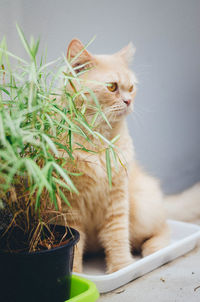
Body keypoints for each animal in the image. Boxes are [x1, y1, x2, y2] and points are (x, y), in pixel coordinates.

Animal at [59, 38, 200, 274]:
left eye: (131, 88)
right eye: (112, 87)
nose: (128, 101)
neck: (98, 141)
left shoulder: (117, 198)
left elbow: (117, 237)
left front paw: (121, 268)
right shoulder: (70, 204)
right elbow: (75, 246)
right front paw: (76, 274)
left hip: (140, 208)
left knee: (164, 227)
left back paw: (154, 249)